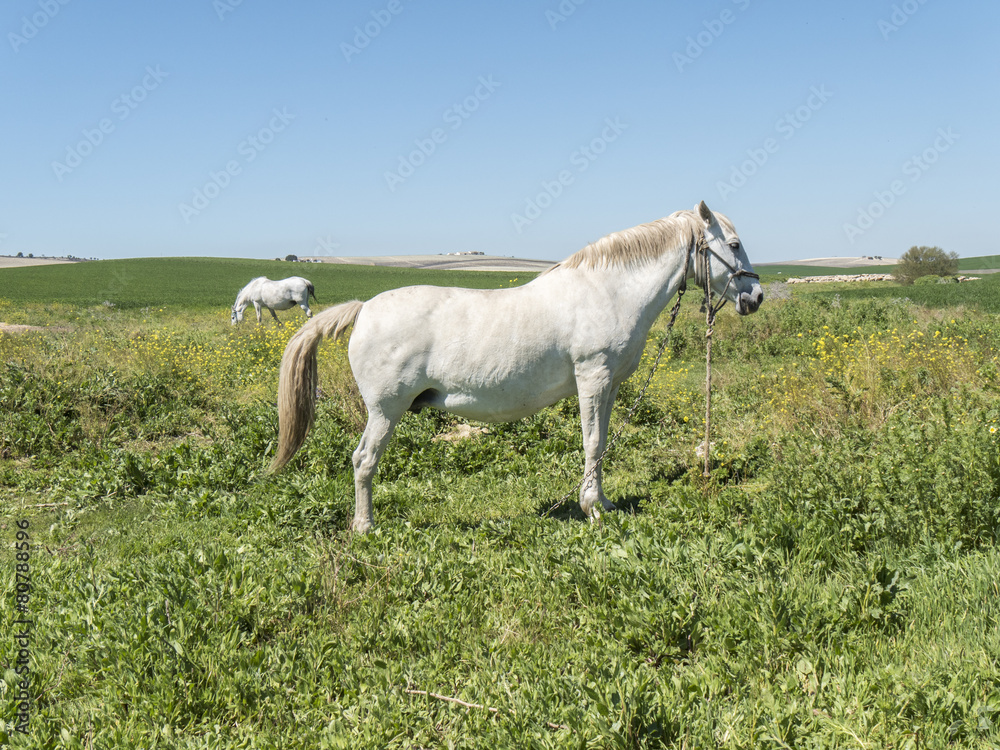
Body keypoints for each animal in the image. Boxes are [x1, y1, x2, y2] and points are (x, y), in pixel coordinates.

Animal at [270, 203, 760, 532]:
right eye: (734, 245)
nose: (754, 297)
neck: (608, 290)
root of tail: (363, 308)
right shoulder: (593, 378)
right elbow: (592, 442)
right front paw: (592, 509)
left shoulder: (610, 386)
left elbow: (600, 445)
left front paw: (603, 503)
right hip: (385, 411)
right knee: (363, 460)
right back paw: (365, 526)